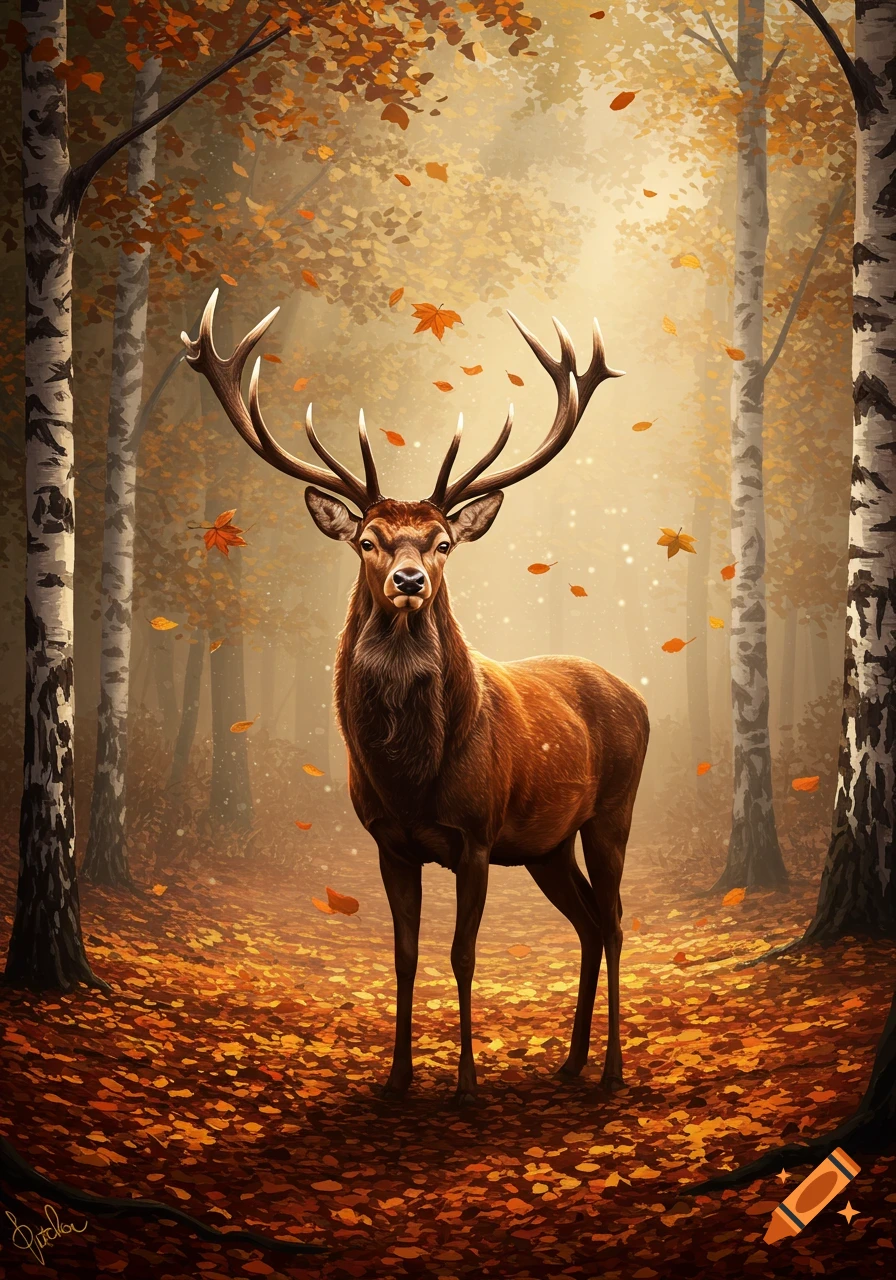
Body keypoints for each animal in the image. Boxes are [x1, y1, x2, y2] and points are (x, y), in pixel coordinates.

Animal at [182, 291, 649, 1105]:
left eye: (443, 542)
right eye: (367, 539)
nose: (409, 580)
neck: (412, 777)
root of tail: (643, 702)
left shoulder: (477, 834)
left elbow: (462, 955)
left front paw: (465, 1085)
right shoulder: (388, 841)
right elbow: (402, 955)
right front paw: (397, 1078)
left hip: (611, 809)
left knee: (617, 920)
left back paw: (611, 1070)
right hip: (547, 843)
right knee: (589, 923)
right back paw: (569, 1063)